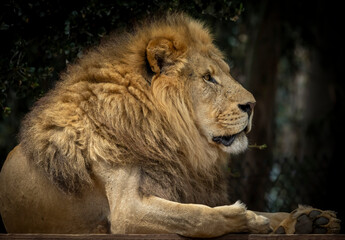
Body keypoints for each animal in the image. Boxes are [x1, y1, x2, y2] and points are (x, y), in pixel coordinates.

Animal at [0, 13, 340, 236]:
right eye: (208, 78)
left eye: (225, 73)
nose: (252, 105)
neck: (165, 134)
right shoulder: (126, 210)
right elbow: (198, 216)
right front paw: (246, 220)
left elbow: (261, 211)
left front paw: (310, 219)